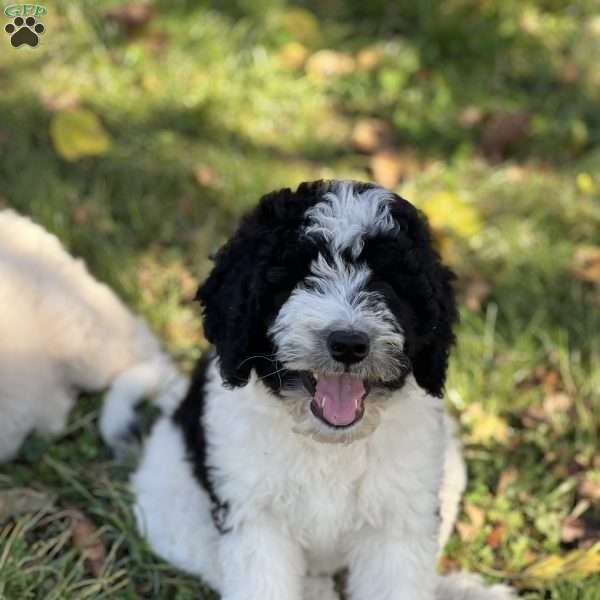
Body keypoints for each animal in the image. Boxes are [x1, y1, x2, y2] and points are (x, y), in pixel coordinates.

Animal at [130, 179, 510, 600]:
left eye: (387, 281)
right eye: (297, 277)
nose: (348, 344)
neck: (329, 444)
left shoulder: (399, 518)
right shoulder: (254, 517)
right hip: (169, 505)